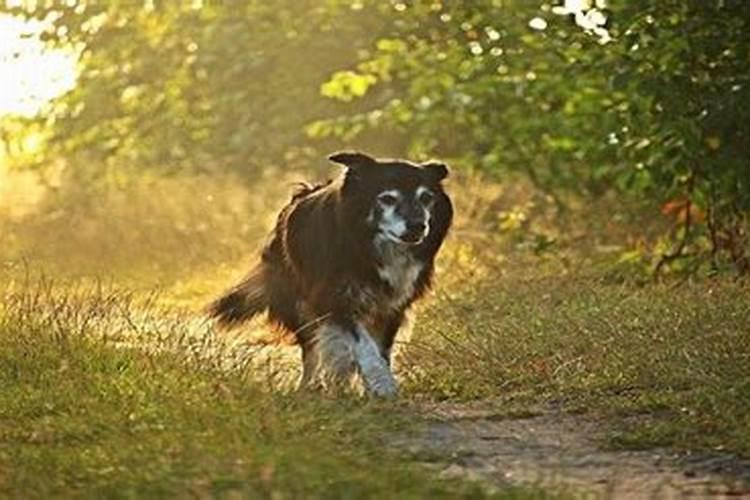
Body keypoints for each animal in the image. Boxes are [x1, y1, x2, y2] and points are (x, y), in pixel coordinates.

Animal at [207, 150, 452, 396]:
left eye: (426, 198)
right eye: (388, 198)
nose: (418, 225)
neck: (368, 245)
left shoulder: (393, 306)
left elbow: (380, 349)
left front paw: (371, 385)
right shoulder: (333, 299)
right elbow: (363, 345)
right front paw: (382, 384)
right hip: (298, 303)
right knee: (311, 348)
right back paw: (312, 385)